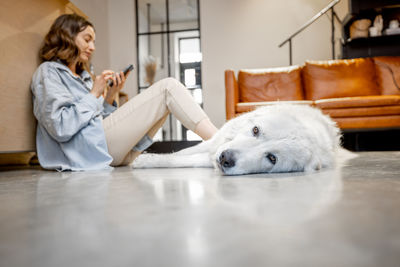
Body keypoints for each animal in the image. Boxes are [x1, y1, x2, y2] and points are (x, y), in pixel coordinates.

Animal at [132, 104, 340, 176]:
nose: (225, 158)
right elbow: (182, 154)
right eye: (255, 130)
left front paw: (145, 161)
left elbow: (186, 160)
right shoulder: (215, 144)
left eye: (272, 158)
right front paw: (146, 159)